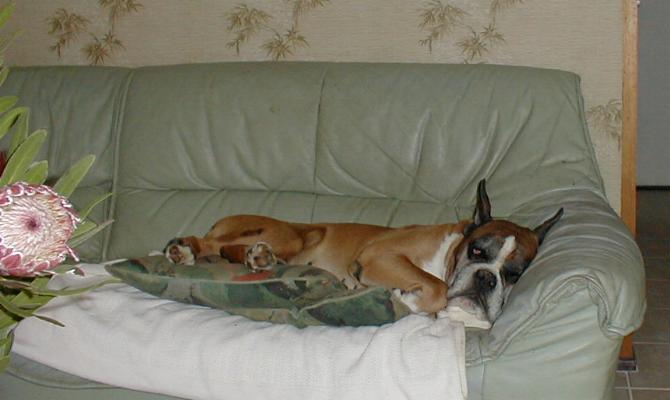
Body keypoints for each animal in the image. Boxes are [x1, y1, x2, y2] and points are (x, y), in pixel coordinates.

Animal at [164, 180, 563, 324]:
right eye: (477, 251)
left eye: (514, 274)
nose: (485, 278)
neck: (449, 254)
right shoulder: (381, 257)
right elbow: (434, 287)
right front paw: (409, 297)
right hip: (290, 236)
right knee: (211, 244)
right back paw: (183, 252)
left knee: (232, 250)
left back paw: (257, 258)